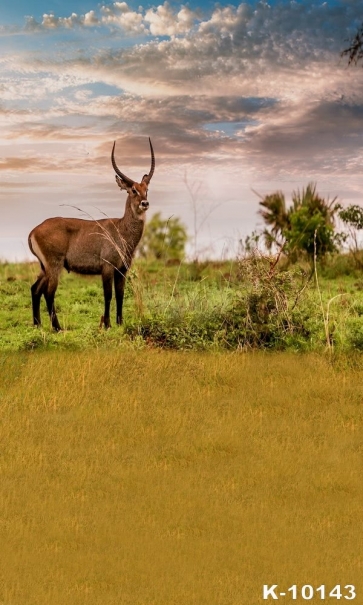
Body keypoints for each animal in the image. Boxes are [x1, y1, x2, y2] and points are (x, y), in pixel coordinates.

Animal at [27, 137, 155, 330]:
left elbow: (120, 295)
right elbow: (108, 295)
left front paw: (120, 322)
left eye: (146, 189)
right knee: (49, 293)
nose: (145, 203)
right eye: (133, 190)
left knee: (35, 289)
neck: (121, 229)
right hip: (54, 265)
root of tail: (34, 230)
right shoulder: (107, 267)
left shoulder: (122, 269)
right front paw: (107, 324)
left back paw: (38, 325)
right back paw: (57, 328)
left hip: (44, 267)